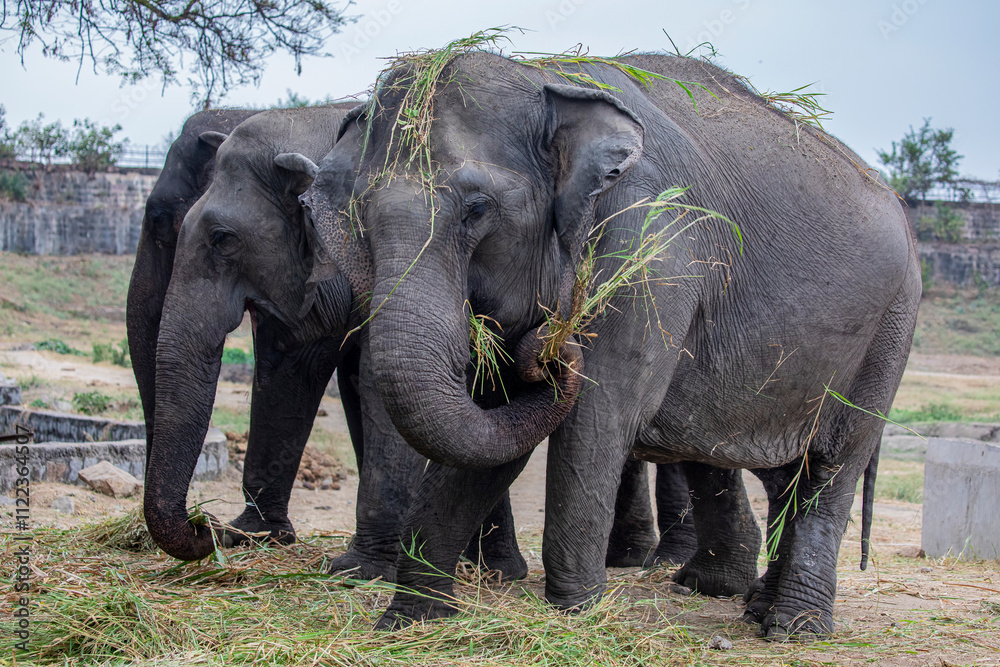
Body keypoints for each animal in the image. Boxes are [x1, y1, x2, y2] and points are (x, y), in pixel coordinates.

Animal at [306, 51, 920, 638]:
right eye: (359, 217)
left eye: (477, 209)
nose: (551, 350)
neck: (546, 81)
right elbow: (494, 427)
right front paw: (410, 622)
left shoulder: (649, 254)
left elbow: (593, 419)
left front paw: (576, 616)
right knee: (784, 471)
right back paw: (753, 607)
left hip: (891, 328)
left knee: (834, 462)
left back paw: (793, 627)